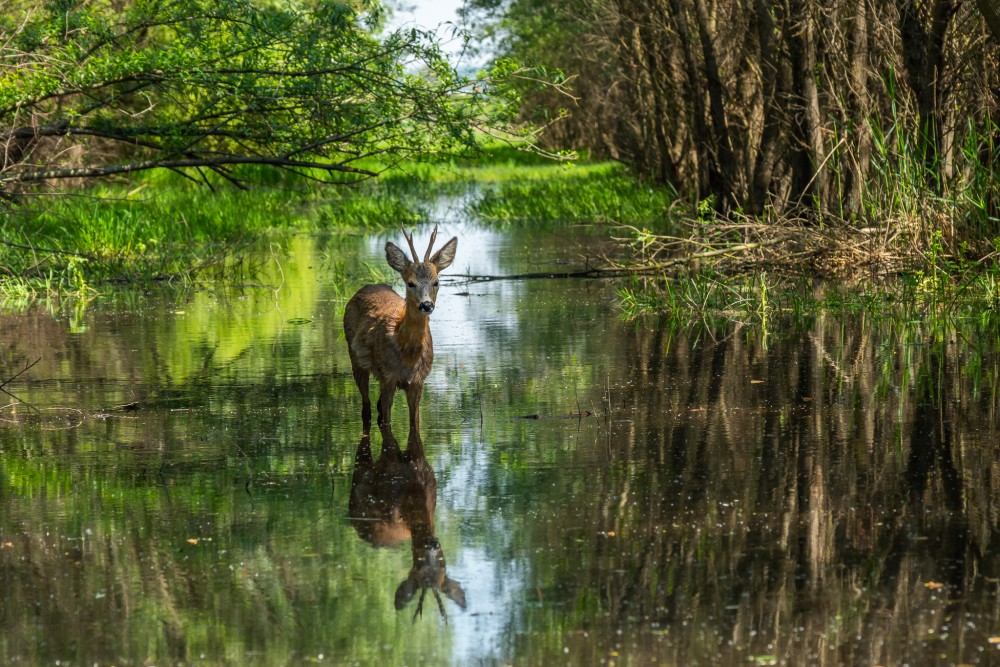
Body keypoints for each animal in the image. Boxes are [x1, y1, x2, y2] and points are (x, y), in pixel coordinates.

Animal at [342, 226, 456, 434]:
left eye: (436, 282)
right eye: (411, 283)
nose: (426, 305)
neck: (408, 353)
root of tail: (367, 286)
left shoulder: (418, 381)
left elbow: (414, 423)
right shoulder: (387, 377)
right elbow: (386, 420)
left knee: (376, 407)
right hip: (355, 359)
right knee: (367, 407)